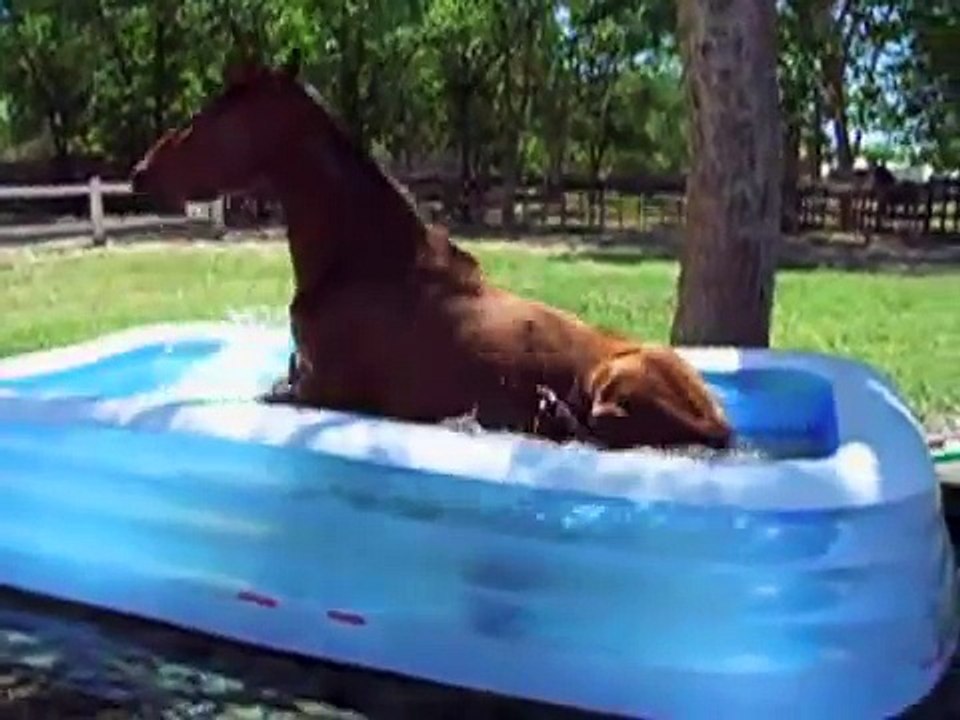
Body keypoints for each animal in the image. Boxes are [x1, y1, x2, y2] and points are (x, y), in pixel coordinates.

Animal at [130, 50, 733, 452]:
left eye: (211, 115)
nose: (140, 172)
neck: (361, 262)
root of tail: (718, 420)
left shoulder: (320, 390)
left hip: (616, 385)